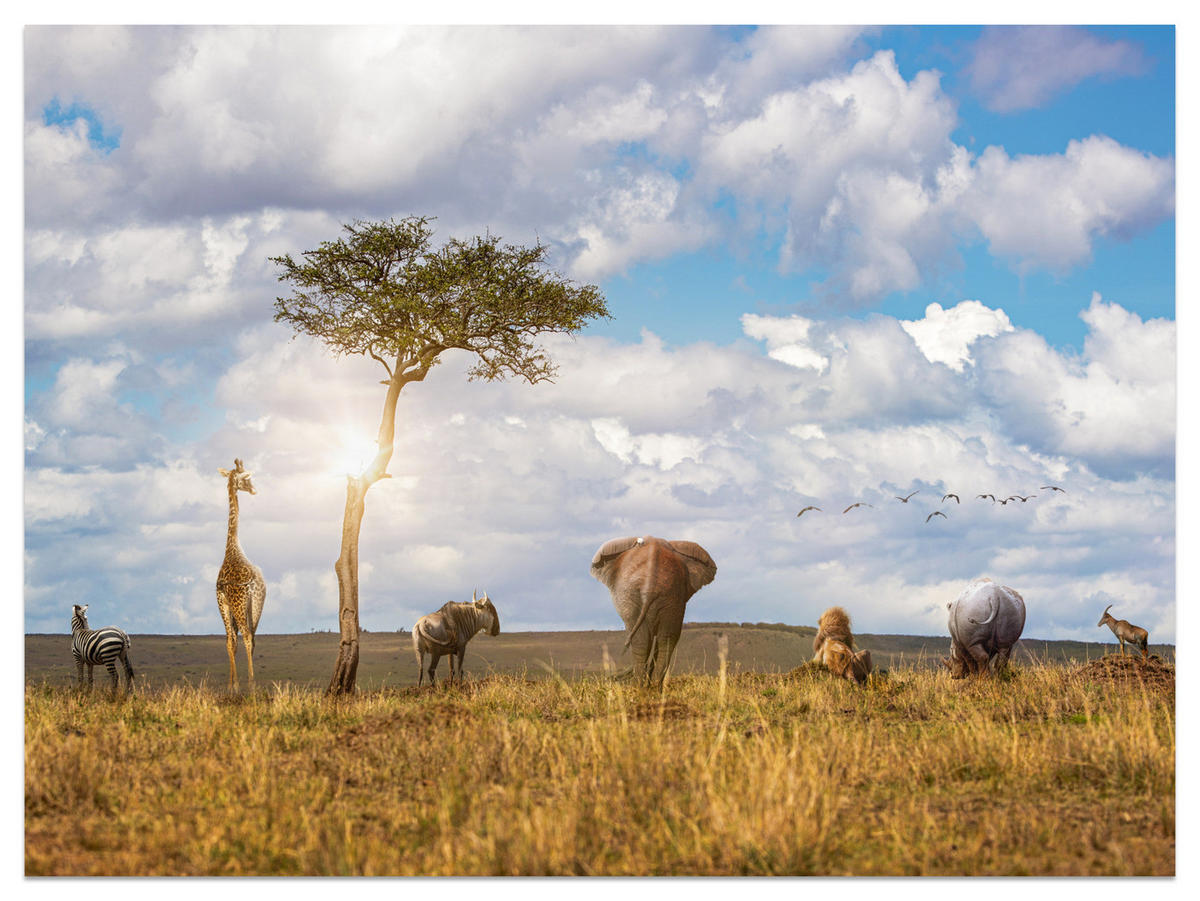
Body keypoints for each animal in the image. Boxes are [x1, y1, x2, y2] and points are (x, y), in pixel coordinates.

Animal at [589, 535, 717, 689]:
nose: (611, 677)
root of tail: (651, 583)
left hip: (652, 596)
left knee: (647, 639)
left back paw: (643, 688)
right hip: (664, 597)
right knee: (664, 638)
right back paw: (652, 688)